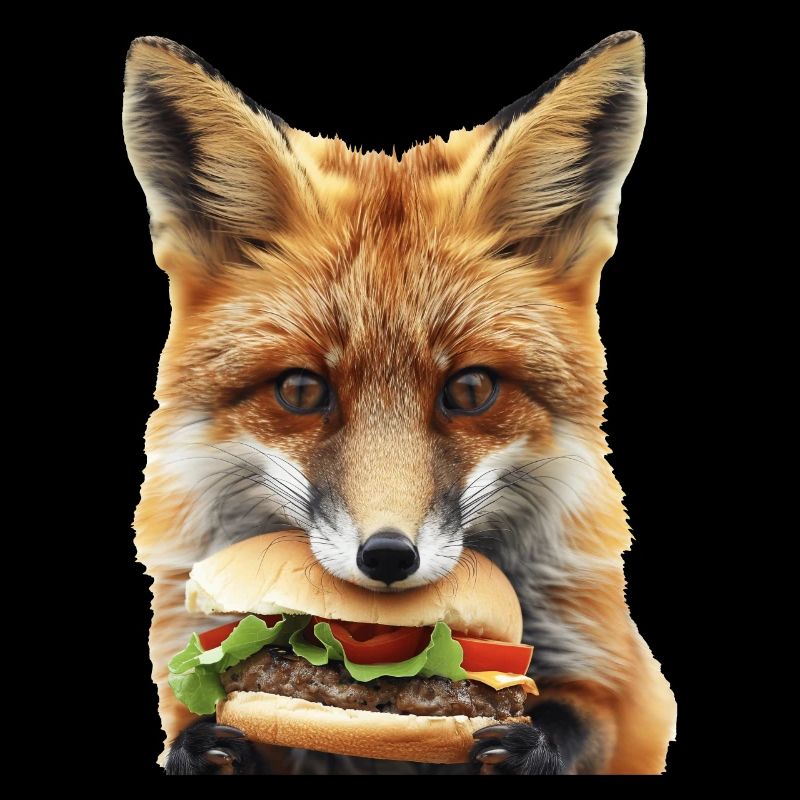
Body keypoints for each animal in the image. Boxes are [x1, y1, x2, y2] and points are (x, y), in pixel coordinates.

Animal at [123, 30, 677, 775]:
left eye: (470, 390)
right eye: (302, 390)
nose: (387, 557)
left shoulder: (625, 683)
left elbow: (585, 724)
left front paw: (527, 745)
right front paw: (205, 747)